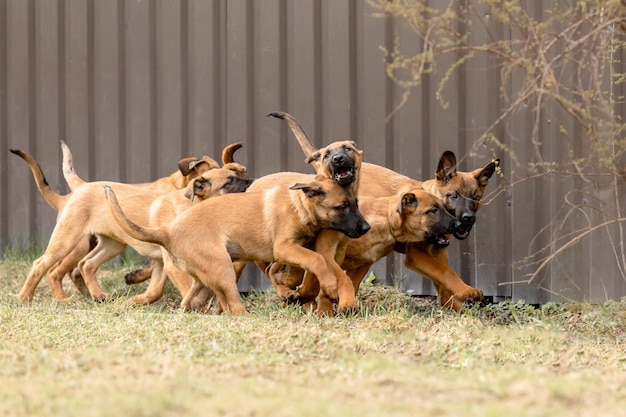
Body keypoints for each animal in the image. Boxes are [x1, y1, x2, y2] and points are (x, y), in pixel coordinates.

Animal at [103, 172, 370, 316]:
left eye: (356, 204)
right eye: (342, 207)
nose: (366, 228)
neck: (298, 205)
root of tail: (168, 230)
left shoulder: (295, 248)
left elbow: (301, 266)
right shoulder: (284, 247)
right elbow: (316, 260)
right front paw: (330, 285)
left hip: (205, 278)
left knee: (190, 302)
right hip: (222, 268)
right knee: (232, 304)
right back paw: (248, 316)